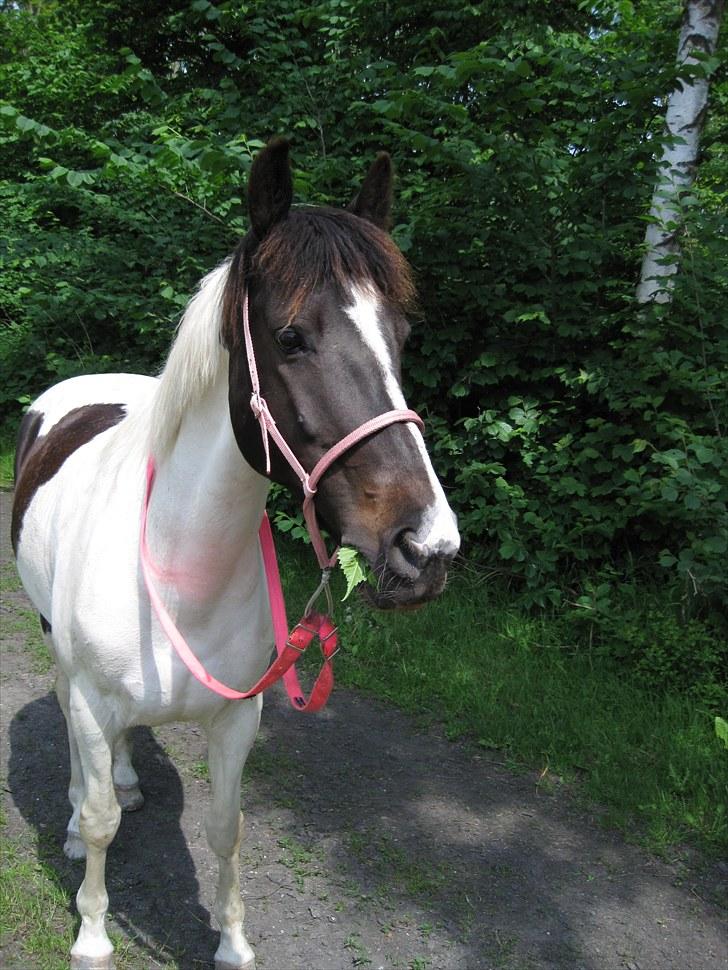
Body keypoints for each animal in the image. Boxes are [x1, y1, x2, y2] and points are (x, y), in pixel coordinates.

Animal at [12, 138, 460, 968]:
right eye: (290, 337)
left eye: (402, 338)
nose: (427, 547)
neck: (178, 572)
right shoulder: (91, 698)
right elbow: (100, 822)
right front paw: (91, 934)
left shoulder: (238, 719)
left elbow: (227, 828)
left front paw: (233, 942)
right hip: (60, 655)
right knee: (72, 736)